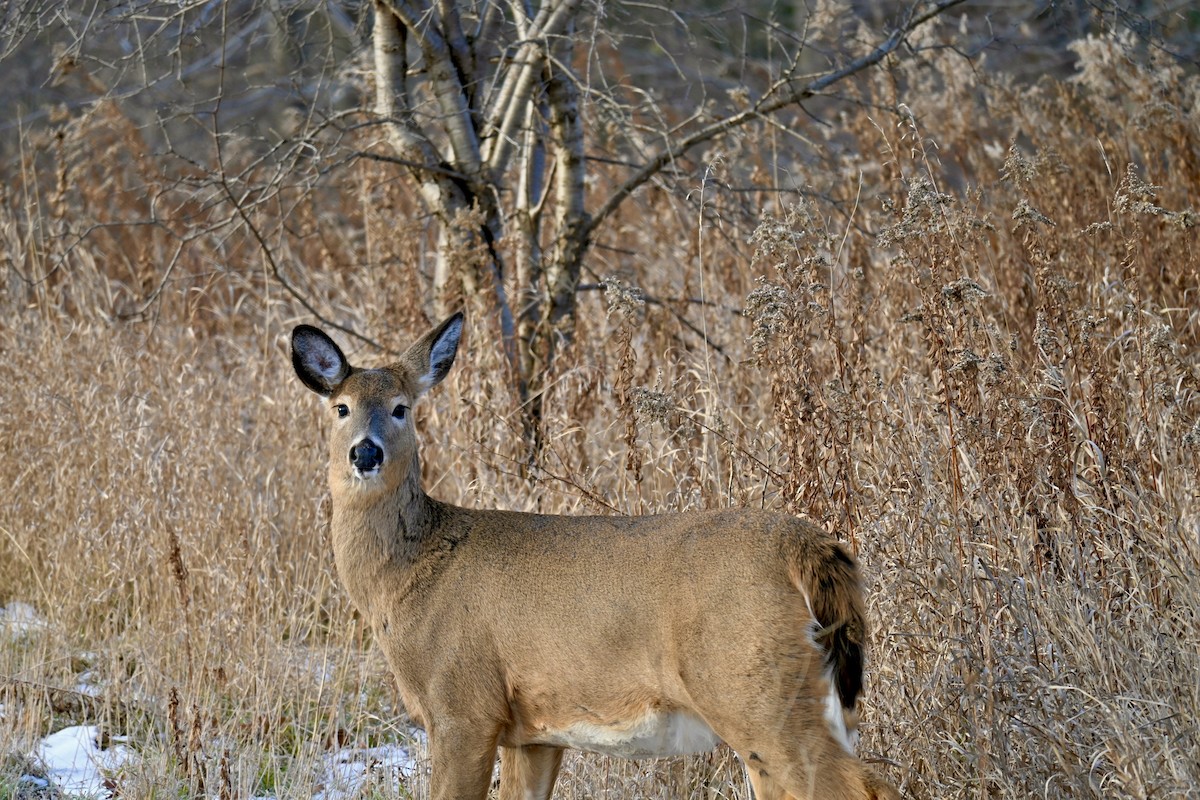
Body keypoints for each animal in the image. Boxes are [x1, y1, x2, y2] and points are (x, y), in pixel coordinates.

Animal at [291, 312, 901, 800]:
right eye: (341, 407)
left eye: (400, 409)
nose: (364, 452)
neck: (409, 576)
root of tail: (807, 546)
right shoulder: (532, 732)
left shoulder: (463, 707)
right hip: (813, 700)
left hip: (757, 692)